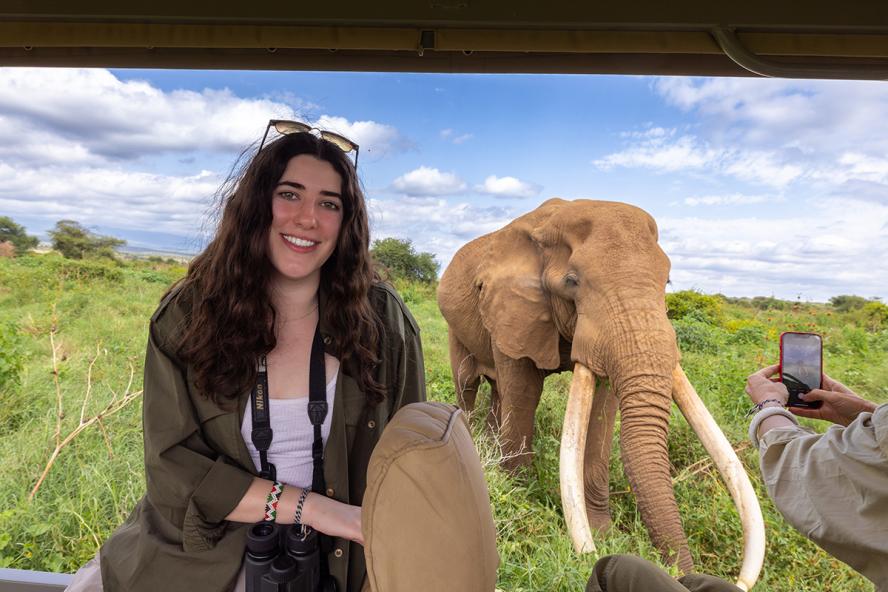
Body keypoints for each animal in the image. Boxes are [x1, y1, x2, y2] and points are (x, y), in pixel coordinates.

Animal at [436, 201, 764, 588]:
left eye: (667, 281)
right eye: (571, 282)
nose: (681, 576)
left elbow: (603, 411)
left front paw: (604, 534)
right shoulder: (512, 307)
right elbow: (525, 392)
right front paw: (522, 498)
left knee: (497, 391)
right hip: (457, 325)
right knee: (468, 385)